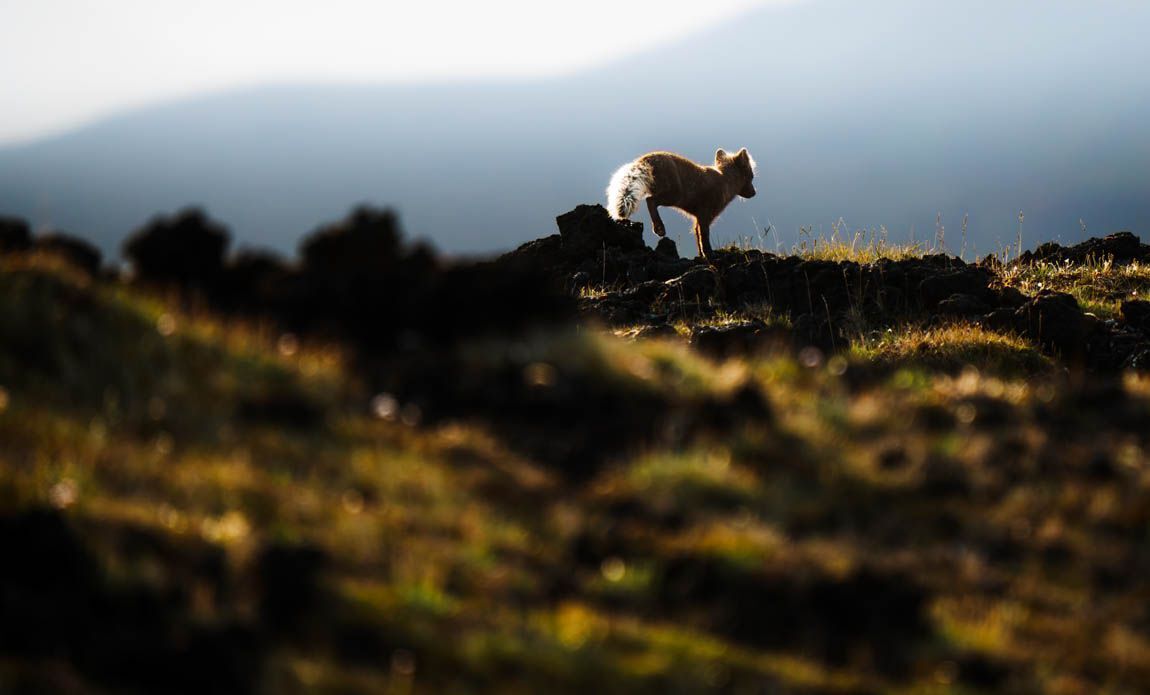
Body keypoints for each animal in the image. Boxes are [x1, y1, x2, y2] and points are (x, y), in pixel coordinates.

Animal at [606, 148, 757, 259]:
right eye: (751, 176)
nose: (754, 193)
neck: (725, 182)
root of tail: (645, 158)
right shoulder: (704, 215)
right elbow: (704, 236)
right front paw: (709, 254)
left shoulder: (697, 219)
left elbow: (698, 237)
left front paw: (701, 255)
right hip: (673, 196)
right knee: (650, 201)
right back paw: (659, 228)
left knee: (650, 200)